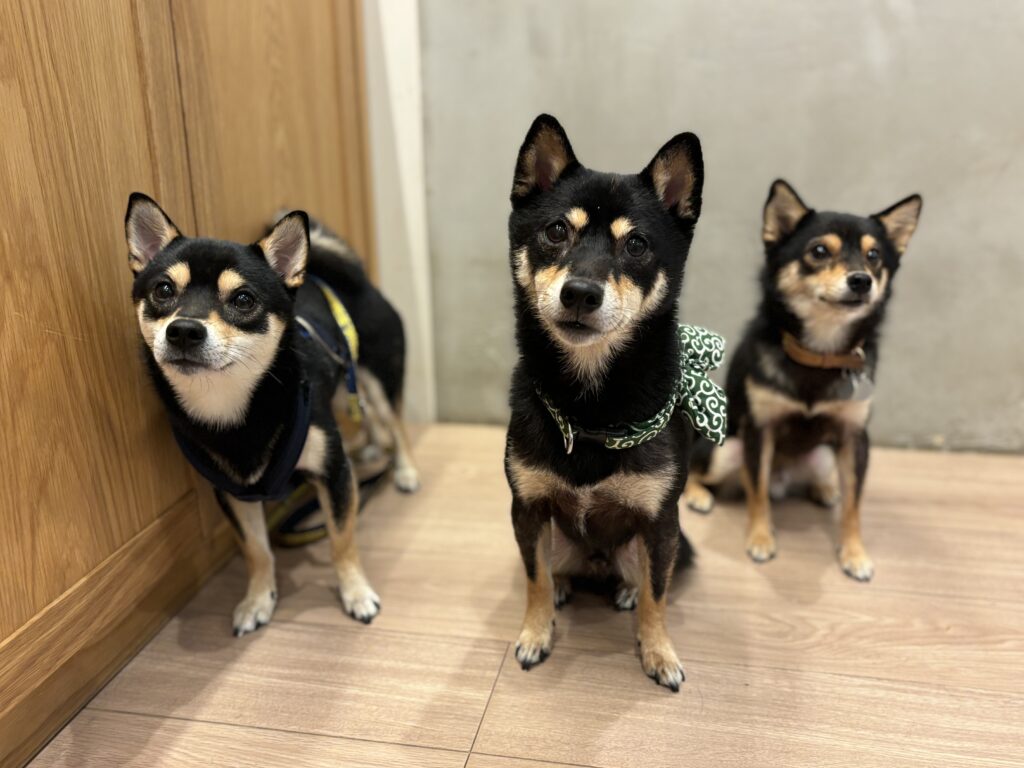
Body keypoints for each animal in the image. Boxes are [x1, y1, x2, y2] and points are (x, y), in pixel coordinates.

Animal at [124, 194, 419, 635]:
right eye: (163, 290)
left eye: (243, 300)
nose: (184, 330)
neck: (236, 412)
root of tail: (345, 278)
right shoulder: (234, 494)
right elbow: (257, 551)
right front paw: (258, 599)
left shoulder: (332, 474)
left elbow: (341, 540)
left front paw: (356, 593)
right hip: (339, 390)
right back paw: (367, 450)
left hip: (378, 378)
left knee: (394, 423)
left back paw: (403, 470)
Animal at [504, 115, 726, 691]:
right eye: (556, 232)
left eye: (638, 245)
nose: (581, 292)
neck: (592, 404)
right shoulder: (527, 509)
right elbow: (534, 580)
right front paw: (536, 632)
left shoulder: (661, 522)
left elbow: (657, 596)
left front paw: (659, 652)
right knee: (555, 568)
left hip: (661, 542)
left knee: (646, 577)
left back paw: (625, 589)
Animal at [685, 180, 922, 581]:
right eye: (819, 251)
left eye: (874, 256)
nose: (862, 280)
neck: (820, 353)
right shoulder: (759, 430)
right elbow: (757, 492)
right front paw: (761, 538)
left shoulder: (854, 437)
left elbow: (854, 505)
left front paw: (855, 553)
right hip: (727, 450)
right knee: (703, 470)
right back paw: (697, 494)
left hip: (824, 455)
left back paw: (824, 489)